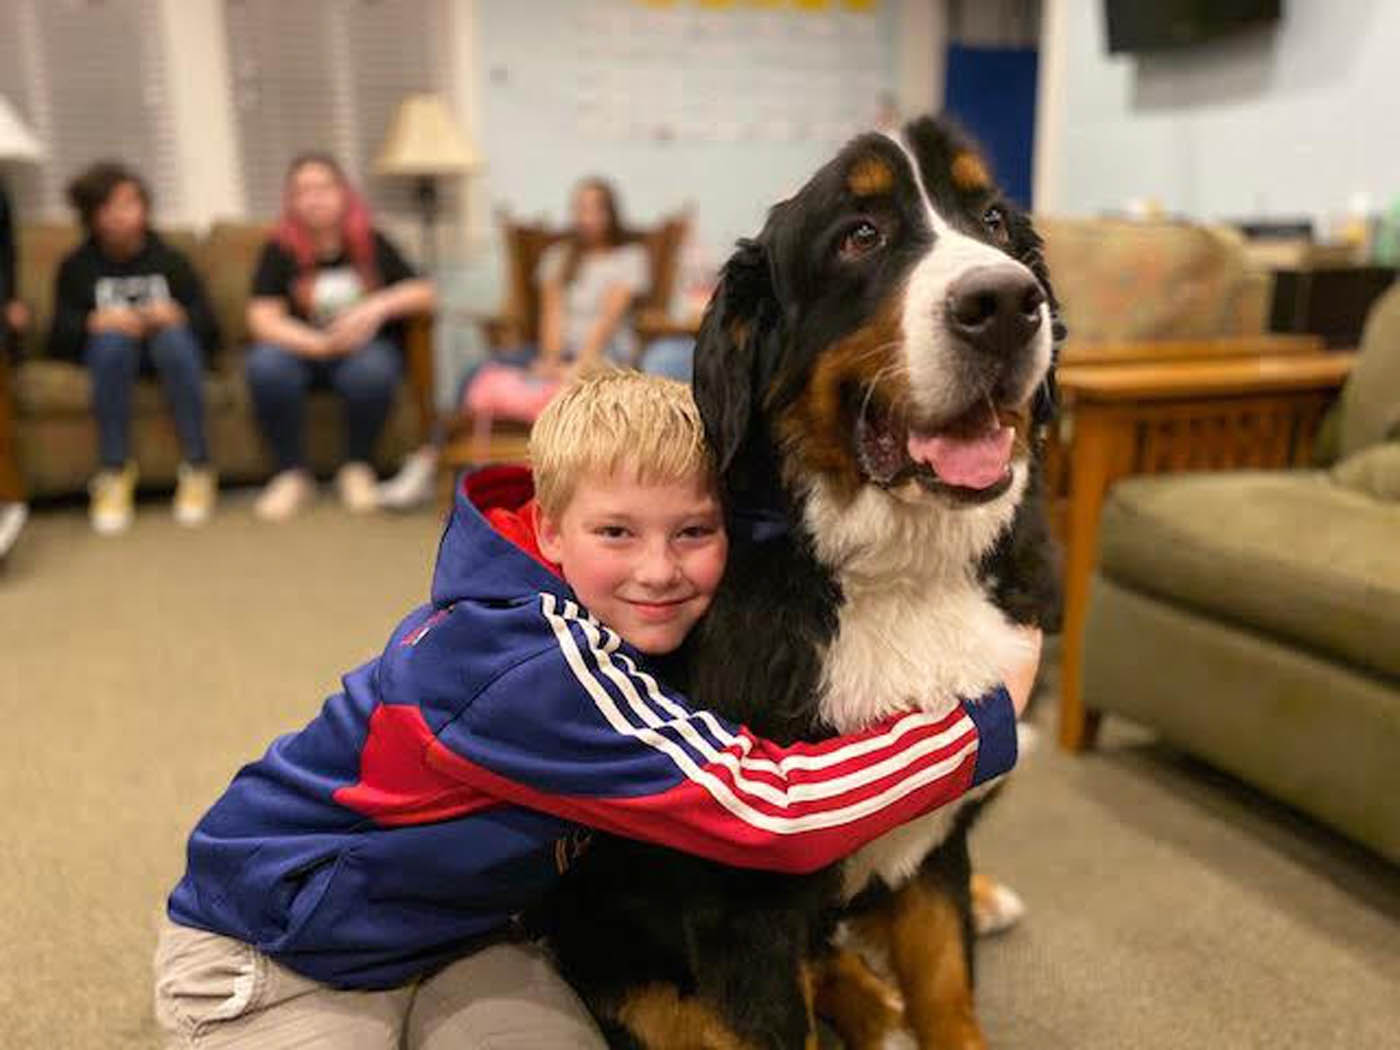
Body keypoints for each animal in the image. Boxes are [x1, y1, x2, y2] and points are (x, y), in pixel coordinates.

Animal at [534, 116, 1058, 1050]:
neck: (900, 572)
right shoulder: (743, 909)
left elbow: (946, 987)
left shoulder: (933, 846)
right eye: (860, 235)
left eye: (994, 221)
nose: (1005, 302)